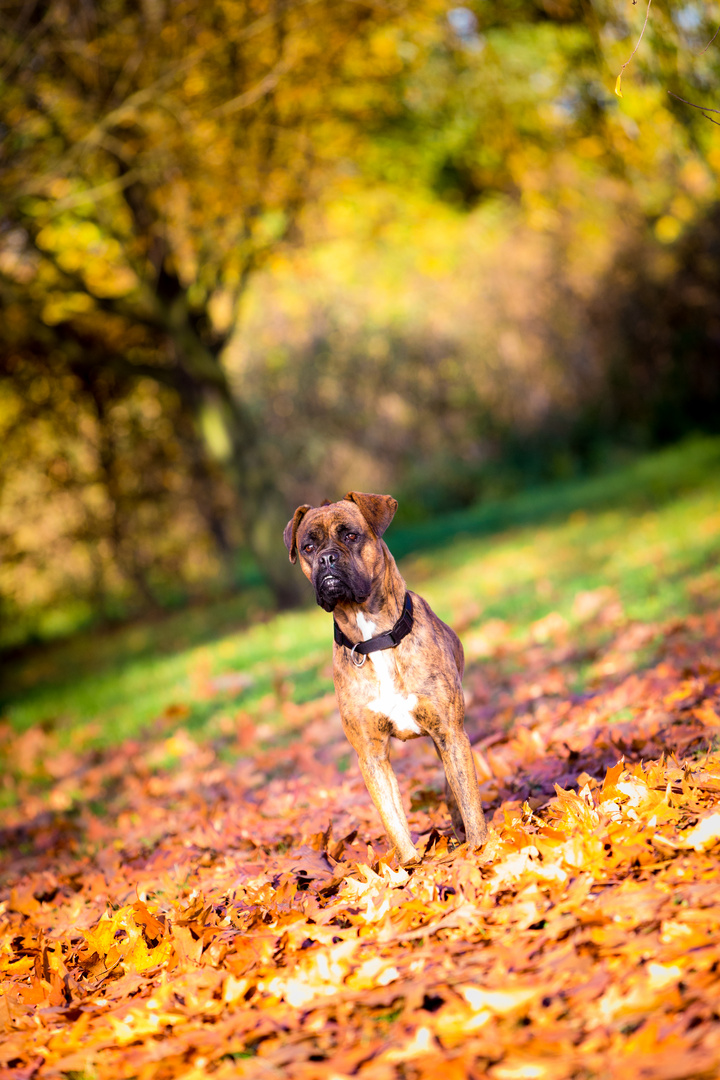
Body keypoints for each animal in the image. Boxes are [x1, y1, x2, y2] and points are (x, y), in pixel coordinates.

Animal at [284, 494, 487, 864]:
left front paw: (482, 849)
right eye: (308, 547)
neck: (374, 636)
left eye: (350, 536)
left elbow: (469, 801)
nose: (327, 558)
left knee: (454, 790)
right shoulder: (372, 754)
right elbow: (392, 817)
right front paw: (409, 866)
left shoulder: (450, 733)